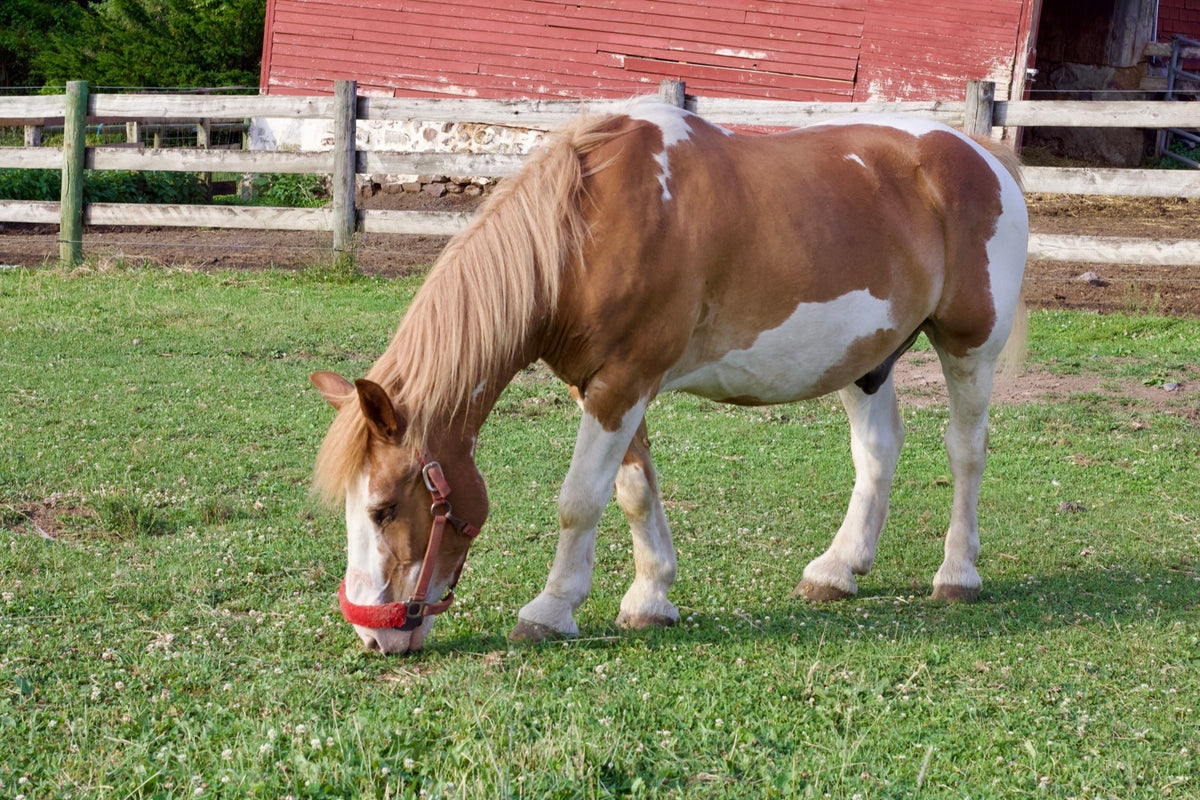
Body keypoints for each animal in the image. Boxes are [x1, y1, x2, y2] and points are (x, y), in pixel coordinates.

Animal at [310, 97, 1029, 654]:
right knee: (877, 453)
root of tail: (983, 152)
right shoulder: (606, 387)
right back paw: (838, 569)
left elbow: (581, 500)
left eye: (381, 508)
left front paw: (551, 608)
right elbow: (634, 492)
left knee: (966, 452)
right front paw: (650, 596)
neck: (583, 232)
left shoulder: (623, 383)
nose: (373, 634)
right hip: (865, 360)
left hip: (970, 346)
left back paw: (957, 573)